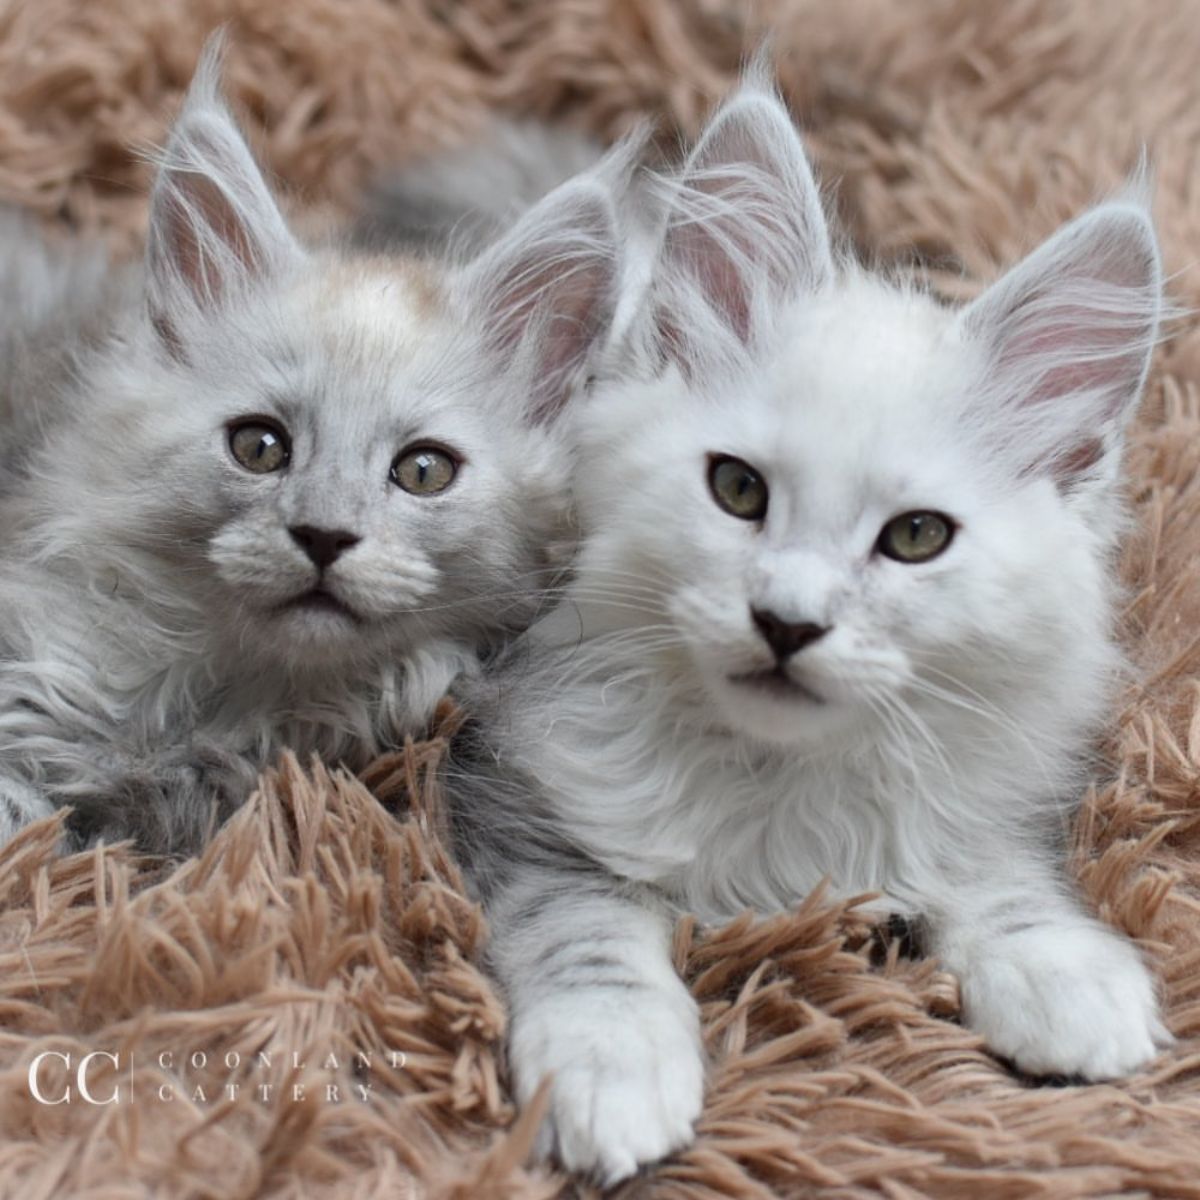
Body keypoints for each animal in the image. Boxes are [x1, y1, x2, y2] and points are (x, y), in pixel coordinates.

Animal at [451, 82, 1171, 1180]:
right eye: (738, 490)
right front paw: (611, 1067)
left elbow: (994, 872)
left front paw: (1062, 973)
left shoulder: (989, 782)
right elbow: (588, 938)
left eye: (916, 538)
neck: (775, 778)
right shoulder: (517, 801)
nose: (787, 621)